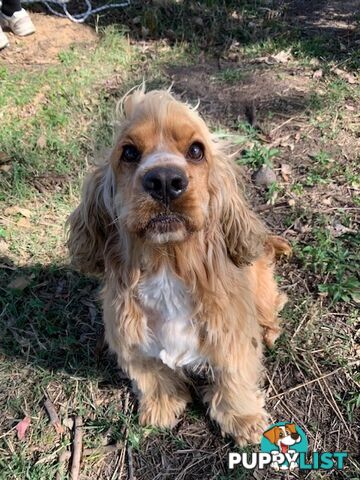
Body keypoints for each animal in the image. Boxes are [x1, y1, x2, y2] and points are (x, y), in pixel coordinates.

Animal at [67, 87, 292, 446]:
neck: (167, 265)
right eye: (129, 152)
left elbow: (233, 380)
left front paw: (245, 421)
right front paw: (160, 409)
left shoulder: (231, 337)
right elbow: (153, 377)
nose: (163, 180)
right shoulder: (132, 342)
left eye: (196, 150)